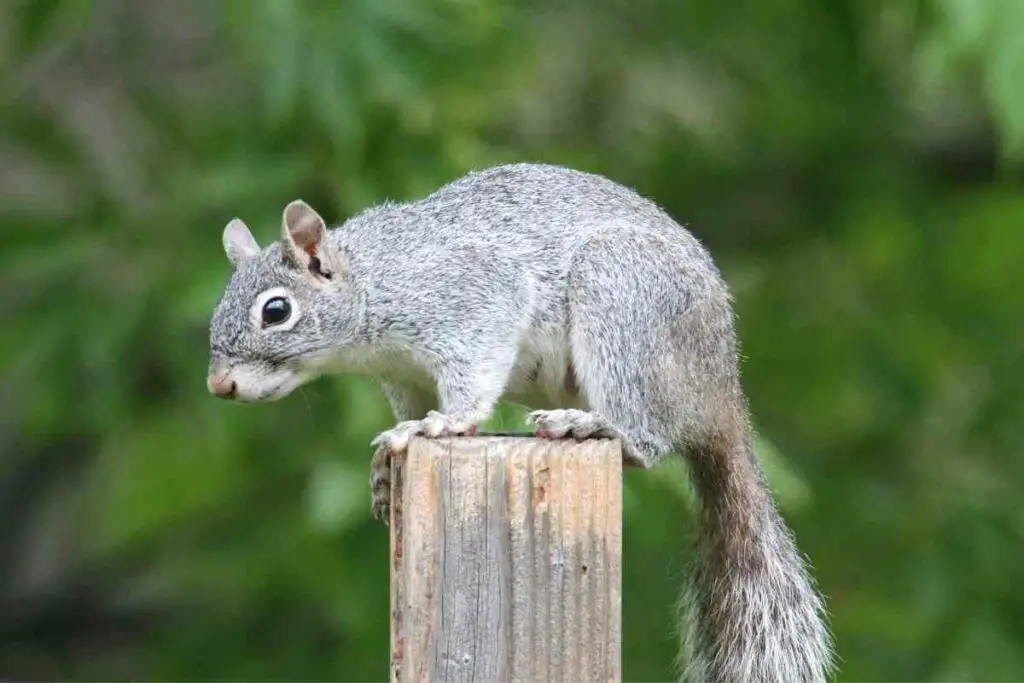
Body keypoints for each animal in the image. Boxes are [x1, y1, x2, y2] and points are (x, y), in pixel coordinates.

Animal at [205, 161, 831, 683]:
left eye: (276, 311)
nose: (219, 386)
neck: (371, 281)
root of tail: (721, 396)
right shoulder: (403, 377)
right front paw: (385, 469)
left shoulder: (471, 298)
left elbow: (471, 378)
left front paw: (440, 426)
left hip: (621, 298)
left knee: (648, 439)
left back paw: (595, 426)